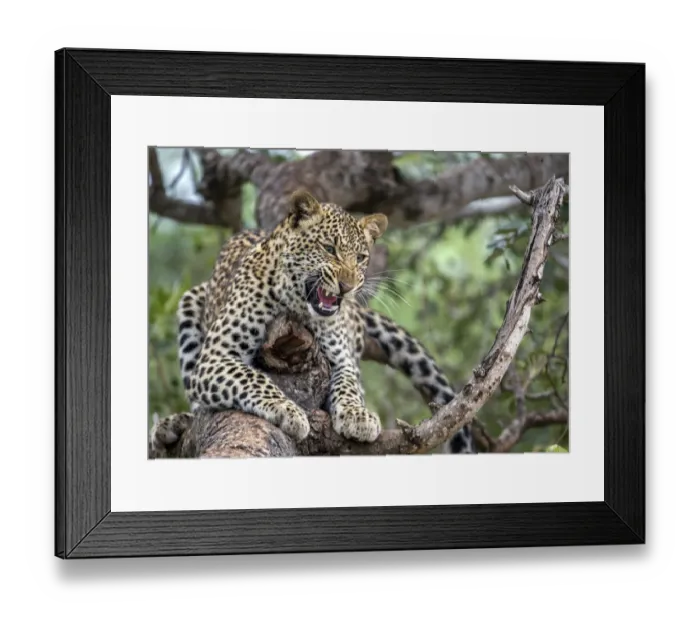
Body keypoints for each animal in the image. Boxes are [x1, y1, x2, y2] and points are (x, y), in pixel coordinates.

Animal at [156, 189, 476, 454]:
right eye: (329, 249)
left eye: (361, 257)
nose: (347, 286)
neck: (298, 307)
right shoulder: (216, 357)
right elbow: (252, 378)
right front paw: (287, 410)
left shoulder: (341, 359)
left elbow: (348, 386)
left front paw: (357, 415)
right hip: (190, 301)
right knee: (197, 403)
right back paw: (174, 423)